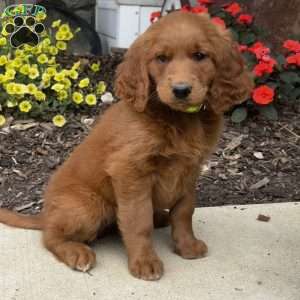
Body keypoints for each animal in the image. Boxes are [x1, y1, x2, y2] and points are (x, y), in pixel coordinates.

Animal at [0, 11, 253, 278]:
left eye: (200, 56)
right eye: (161, 58)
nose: (181, 90)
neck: (178, 118)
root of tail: (46, 214)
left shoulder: (190, 169)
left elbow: (184, 211)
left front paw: (187, 246)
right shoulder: (130, 171)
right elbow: (138, 221)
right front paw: (144, 262)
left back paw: (160, 217)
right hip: (90, 206)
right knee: (51, 236)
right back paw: (76, 252)